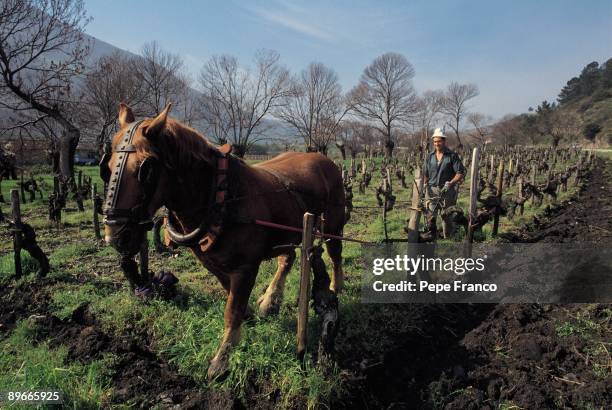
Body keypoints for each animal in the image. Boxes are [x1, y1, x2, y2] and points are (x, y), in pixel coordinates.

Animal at [103, 104, 346, 380]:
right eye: (107, 166)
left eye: (145, 169)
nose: (115, 235)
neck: (219, 196)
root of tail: (325, 160)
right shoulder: (214, 263)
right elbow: (231, 295)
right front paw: (248, 316)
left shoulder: (245, 267)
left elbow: (232, 310)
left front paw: (223, 358)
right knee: (288, 258)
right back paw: (271, 299)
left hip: (332, 226)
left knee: (335, 254)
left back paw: (335, 286)